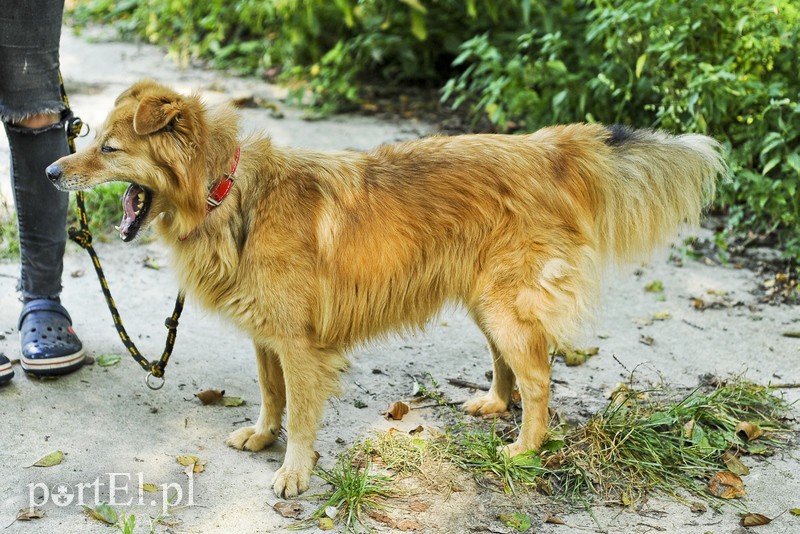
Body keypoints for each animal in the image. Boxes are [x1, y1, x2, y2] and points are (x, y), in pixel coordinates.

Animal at [47, 81, 728, 500]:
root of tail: (547, 148)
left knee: (539, 380)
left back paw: (525, 450)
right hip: (483, 301)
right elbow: (271, 396)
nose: (52, 170)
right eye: (92, 139)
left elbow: (301, 414)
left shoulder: (300, 346)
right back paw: (493, 404)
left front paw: (293, 471)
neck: (228, 193)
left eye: (109, 147)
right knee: (509, 366)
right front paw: (263, 436)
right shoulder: (269, 338)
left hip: (505, 303)